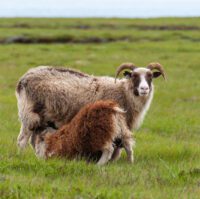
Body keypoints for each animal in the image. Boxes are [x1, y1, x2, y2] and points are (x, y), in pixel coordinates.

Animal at [16, 62, 166, 149]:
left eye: (150, 76)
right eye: (134, 76)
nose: (144, 89)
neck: (124, 92)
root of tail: (23, 79)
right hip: (31, 114)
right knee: (22, 140)